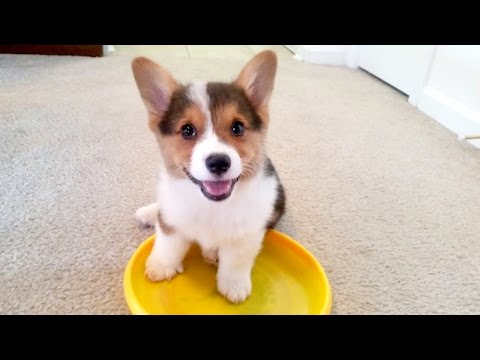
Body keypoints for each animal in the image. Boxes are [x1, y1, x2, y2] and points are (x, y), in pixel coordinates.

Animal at [131, 50, 284, 304]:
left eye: (237, 128)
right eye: (187, 130)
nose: (219, 162)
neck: (211, 205)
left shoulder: (247, 234)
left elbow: (236, 261)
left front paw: (234, 286)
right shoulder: (172, 221)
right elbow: (167, 243)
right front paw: (161, 266)